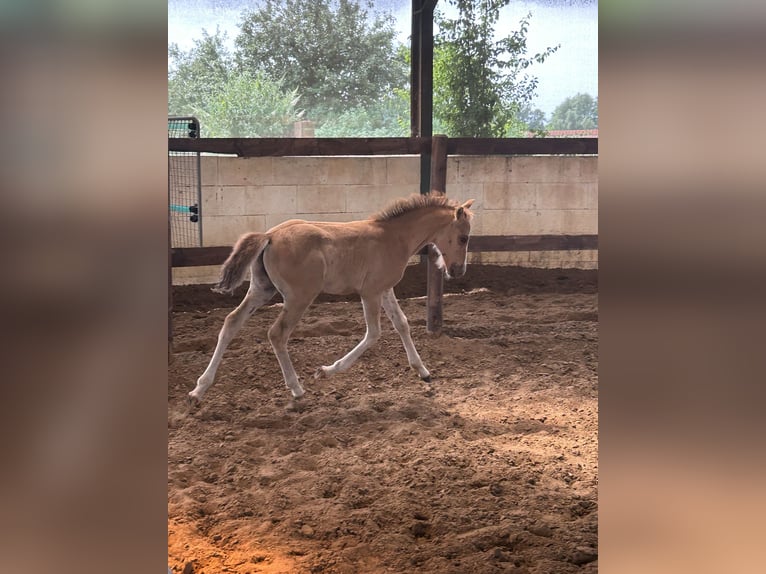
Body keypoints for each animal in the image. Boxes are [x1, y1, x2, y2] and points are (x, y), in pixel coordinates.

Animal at [188, 192, 475, 404]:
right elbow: (374, 333)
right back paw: (296, 388)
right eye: (463, 237)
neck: (394, 237)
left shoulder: (385, 289)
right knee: (277, 334)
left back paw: (199, 389)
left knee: (231, 322)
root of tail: (269, 236)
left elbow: (402, 324)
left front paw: (423, 371)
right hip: (299, 296)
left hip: (262, 289)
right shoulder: (370, 292)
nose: (458, 271)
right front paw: (326, 370)